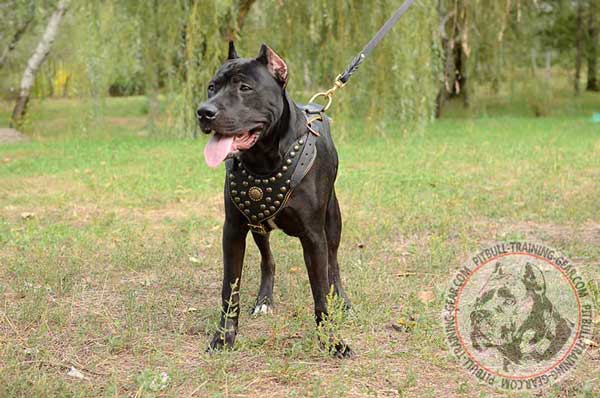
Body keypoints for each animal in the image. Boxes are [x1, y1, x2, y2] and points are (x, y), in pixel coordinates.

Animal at [197, 42, 352, 358]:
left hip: (333, 219)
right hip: (258, 227)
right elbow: (230, 289)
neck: (264, 160)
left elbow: (320, 292)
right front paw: (224, 338)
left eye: (245, 87)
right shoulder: (233, 231)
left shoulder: (313, 236)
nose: (204, 112)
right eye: (211, 87)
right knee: (268, 260)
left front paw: (331, 340)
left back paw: (341, 297)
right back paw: (264, 300)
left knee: (333, 263)